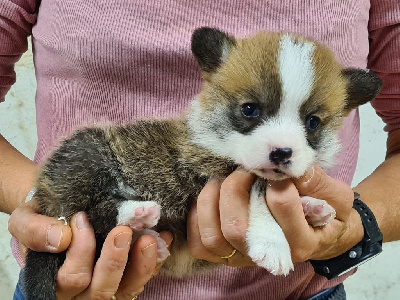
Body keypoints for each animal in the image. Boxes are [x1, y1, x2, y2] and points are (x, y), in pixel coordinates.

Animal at [24, 27, 382, 298]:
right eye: (249, 109)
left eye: (313, 123)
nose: (282, 152)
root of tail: (45, 197)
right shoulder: (205, 171)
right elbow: (259, 195)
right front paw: (273, 243)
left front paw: (312, 207)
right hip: (89, 157)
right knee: (89, 215)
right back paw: (137, 213)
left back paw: (150, 236)